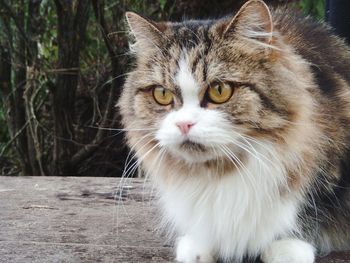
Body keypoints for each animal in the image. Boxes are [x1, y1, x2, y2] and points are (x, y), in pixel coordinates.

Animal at [117, 1, 350, 262]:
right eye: (162, 94)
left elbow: (311, 204)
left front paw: (286, 246)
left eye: (220, 90)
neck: (219, 172)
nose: (184, 124)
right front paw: (200, 244)